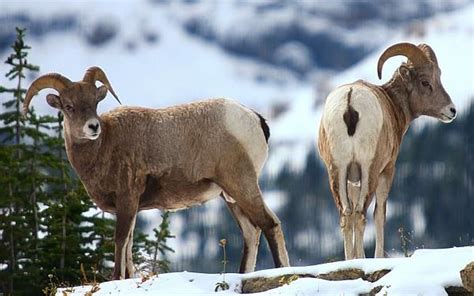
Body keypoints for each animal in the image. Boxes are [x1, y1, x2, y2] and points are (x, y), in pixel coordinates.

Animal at [24, 66, 290, 280]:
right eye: (69, 106)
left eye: (94, 102)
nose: (93, 127)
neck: (103, 146)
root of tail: (254, 118)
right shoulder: (131, 207)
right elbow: (129, 244)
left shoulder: (127, 200)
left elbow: (120, 241)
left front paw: (116, 278)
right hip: (230, 196)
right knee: (251, 232)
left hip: (240, 183)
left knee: (269, 224)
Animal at [316, 42, 458, 260]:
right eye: (425, 82)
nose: (452, 111)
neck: (392, 103)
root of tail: (350, 102)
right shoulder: (387, 170)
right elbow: (380, 214)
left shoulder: (352, 180)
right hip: (370, 170)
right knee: (360, 214)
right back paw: (360, 260)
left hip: (337, 171)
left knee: (347, 214)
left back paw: (351, 259)